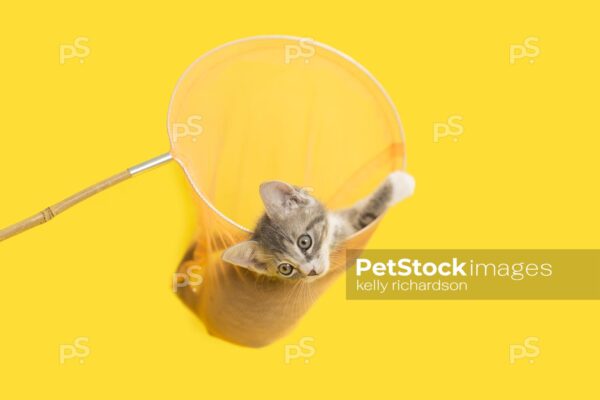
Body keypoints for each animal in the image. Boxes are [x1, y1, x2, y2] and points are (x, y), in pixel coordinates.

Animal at [223, 170, 414, 280]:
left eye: (304, 242)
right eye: (285, 268)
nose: (311, 272)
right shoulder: (354, 226)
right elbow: (368, 212)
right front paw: (401, 182)